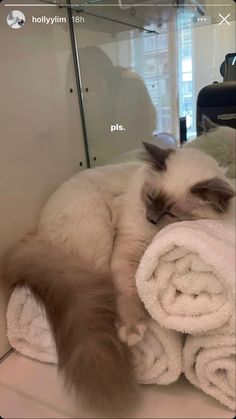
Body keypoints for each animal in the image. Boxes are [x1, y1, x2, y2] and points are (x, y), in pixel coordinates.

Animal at [1, 140, 234, 414]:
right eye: (150, 199)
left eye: (171, 213)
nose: (150, 218)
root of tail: (39, 236)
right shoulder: (129, 249)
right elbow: (129, 291)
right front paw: (132, 329)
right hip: (98, 228)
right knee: (102, 290)